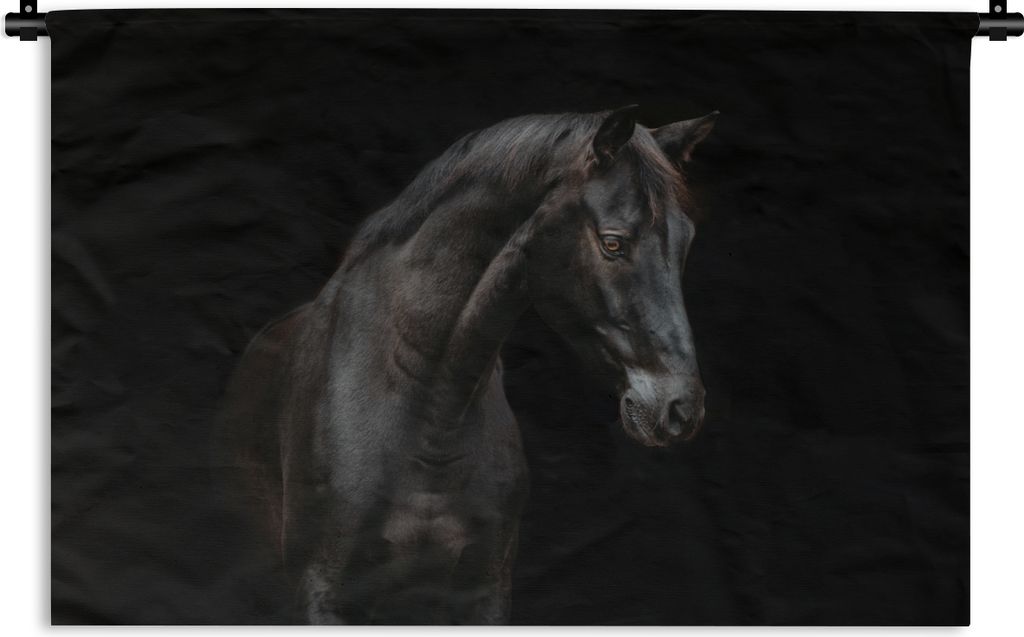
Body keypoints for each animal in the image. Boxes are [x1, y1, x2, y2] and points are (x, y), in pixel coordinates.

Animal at [218, 105, 717, 624]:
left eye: (685, 241)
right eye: (613, 243)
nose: (681, 409)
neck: (429, 413)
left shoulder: (483, 588)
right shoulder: (325, 591)